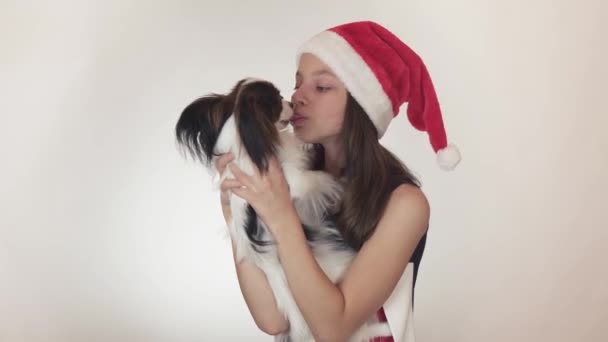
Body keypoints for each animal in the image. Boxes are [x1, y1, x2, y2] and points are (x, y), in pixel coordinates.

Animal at [175, 78, 390, 342]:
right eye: (277, 100)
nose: (292, 103)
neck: (250, 138)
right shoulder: (293, 181)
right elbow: (318, 179)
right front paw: (339, 183)